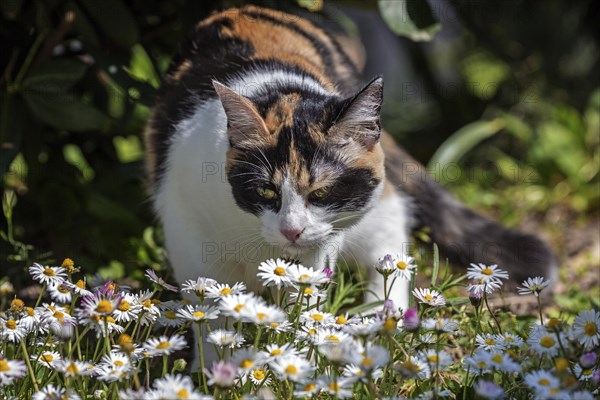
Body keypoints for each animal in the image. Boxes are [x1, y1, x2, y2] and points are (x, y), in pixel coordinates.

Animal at [145, 3, 556, 310]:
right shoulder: (189, 232)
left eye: (323, 193)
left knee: (391, 238)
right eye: (265, 192)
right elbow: (211, 313)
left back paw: (380, 317)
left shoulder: (321, 245)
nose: (291, 231)